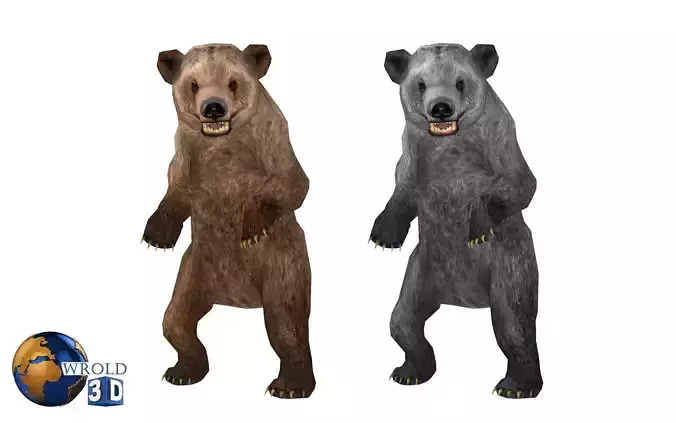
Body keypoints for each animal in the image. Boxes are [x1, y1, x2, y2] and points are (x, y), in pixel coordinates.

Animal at [142, 43, 315, 399]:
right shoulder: (186, 155)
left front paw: (250, 229)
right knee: (175, 319)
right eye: (193, 84)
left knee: (286, 324)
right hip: (196, 270)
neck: (222, 145)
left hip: (282, 267)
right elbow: (176, 188)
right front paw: (156, 235)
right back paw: (182, 372)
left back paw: (290, 386)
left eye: (233, 82)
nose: (213, 108)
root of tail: (239, 298)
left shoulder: (274, 146)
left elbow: (292, 185)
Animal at [369, 43, 542, 399]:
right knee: (403, 321)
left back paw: (517, 386)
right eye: (420, 84)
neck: (449, 143)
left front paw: (477, 229)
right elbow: (403, 188)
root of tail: (466, 299)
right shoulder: (413, 153)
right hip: (422, 272)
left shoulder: (501, 143)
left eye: (461, 82)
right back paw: (409, 372)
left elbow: (520, 185)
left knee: (514, 323)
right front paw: (383, 236)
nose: (441, 108)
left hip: (508, 265)